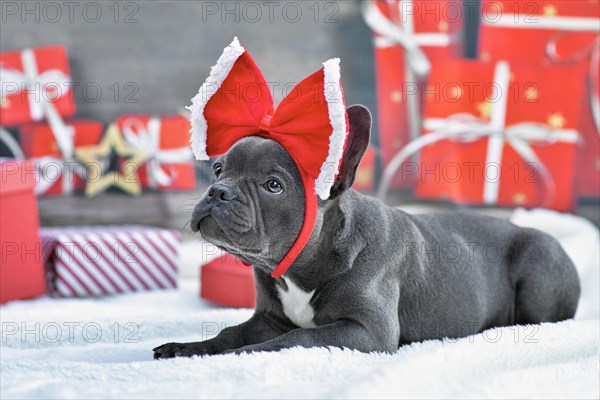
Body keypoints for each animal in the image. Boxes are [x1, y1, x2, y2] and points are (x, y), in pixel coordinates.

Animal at [152, 104, 580, 360]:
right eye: (218, 169)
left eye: (273, 186)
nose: (218, 192)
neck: (304, 263)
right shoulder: (268, 318)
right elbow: (231, 332)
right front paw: (188, 349)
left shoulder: (366, 332)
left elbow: (292, 341)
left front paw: (232, 356)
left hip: (539, 262)